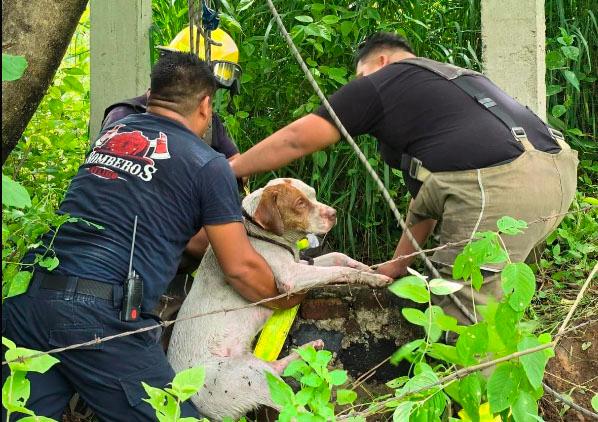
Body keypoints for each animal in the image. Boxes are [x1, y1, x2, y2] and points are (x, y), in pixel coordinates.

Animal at [168, 178, 394, 418]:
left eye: (313, 194)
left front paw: (370, 268)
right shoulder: (291, 277)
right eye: (300, 203)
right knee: (297, 409)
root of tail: (181, 397)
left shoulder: (300, 262)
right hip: (253, 378)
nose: (334, 213)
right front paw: (375, 279)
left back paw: (311, 347)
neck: (260, 232)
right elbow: (338, 271)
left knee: (276, 367)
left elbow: (338, 256)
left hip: (254, 367)